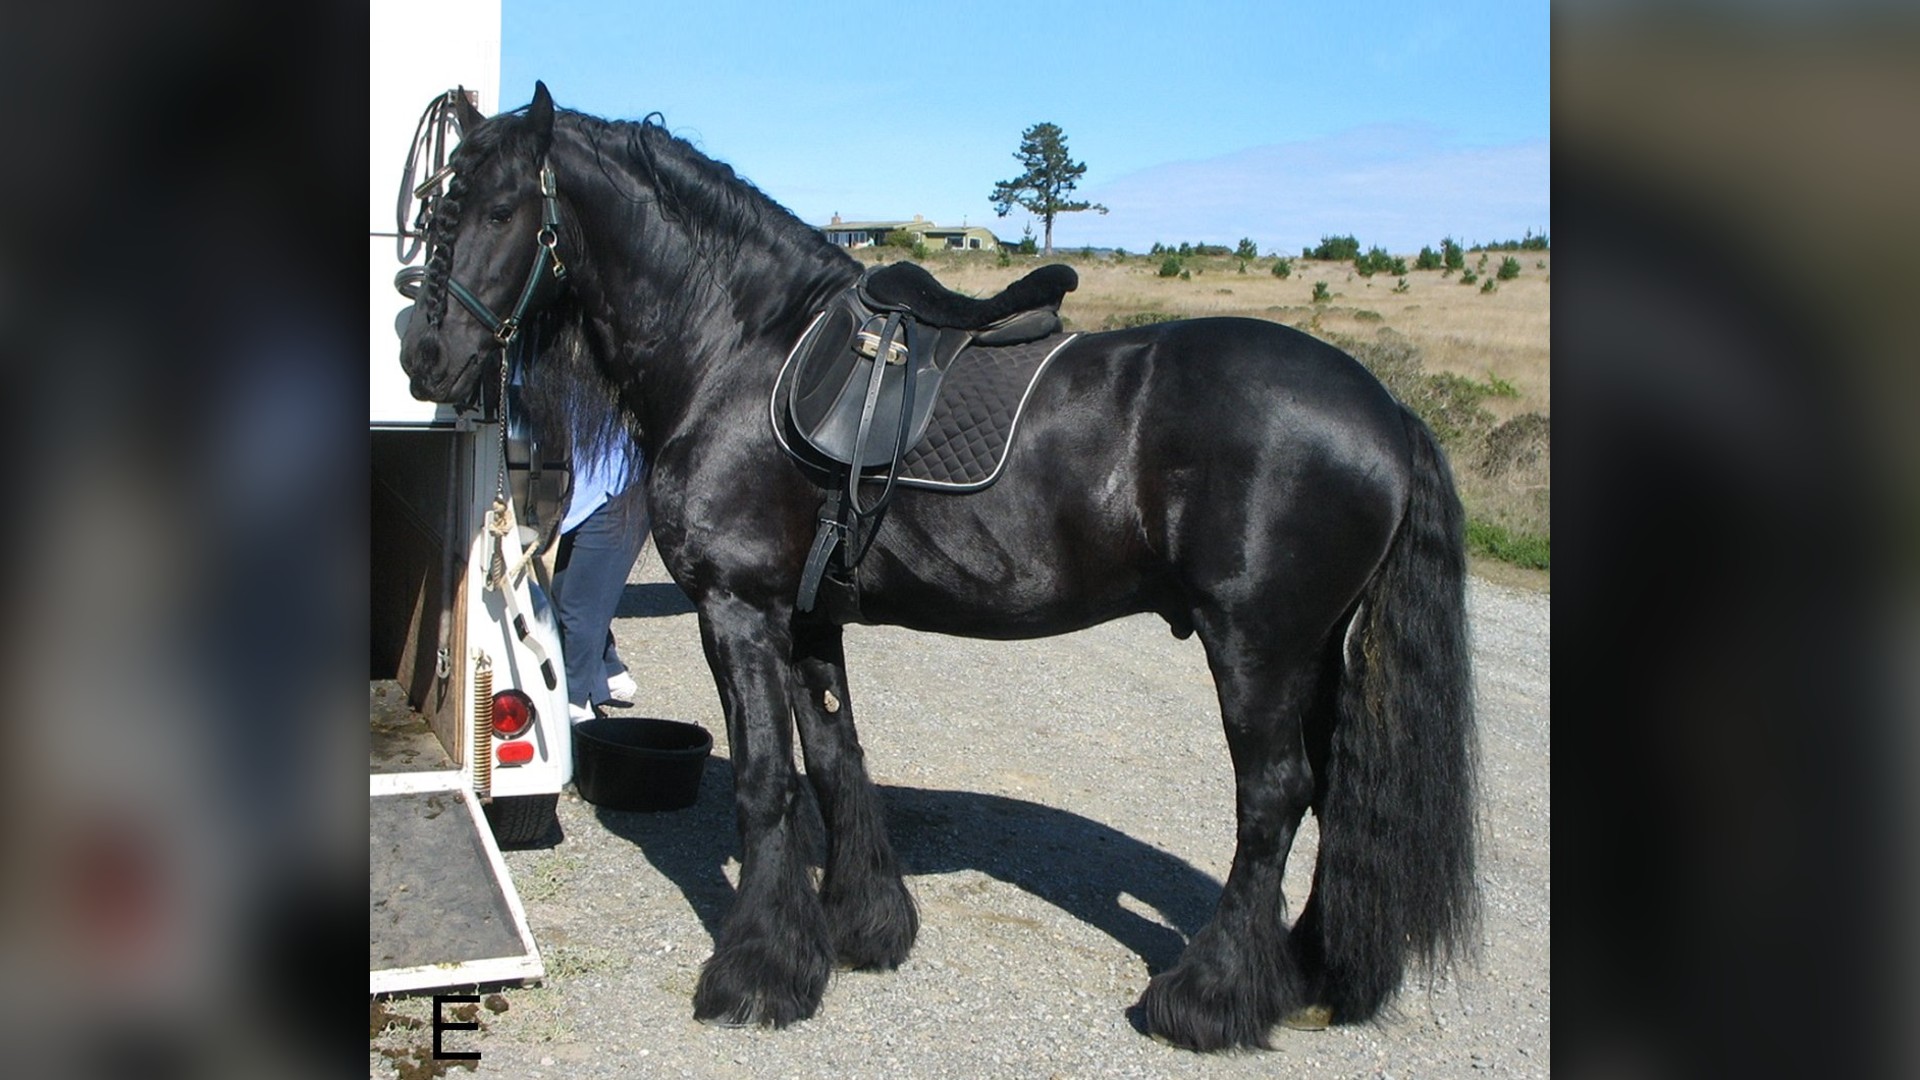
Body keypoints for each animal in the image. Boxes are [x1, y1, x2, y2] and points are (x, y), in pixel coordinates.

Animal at [399, 82, 1478, 1051]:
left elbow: (764, 780)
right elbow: (835, 760)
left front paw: (758, 973)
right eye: (439, 206)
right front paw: (861, 930)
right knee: (1333, 790)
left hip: (1256, 648)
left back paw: (1208, 1001)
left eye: (497, 209)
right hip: (1314, 656)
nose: (422, 356)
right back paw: (1309, 975)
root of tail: (1385, 410)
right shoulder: (805, 617)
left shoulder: (737, 608)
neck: (742, 350)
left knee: (1274, 800)